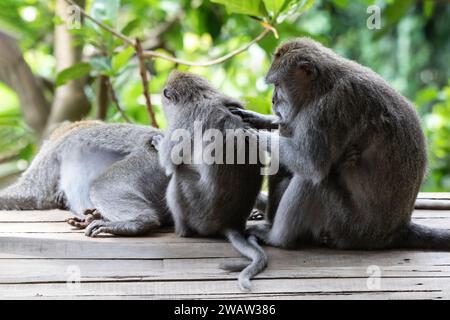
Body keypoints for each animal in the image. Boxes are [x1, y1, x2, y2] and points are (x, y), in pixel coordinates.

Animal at [153, 71, 268, 292]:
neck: (200, 95)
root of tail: (232, 223)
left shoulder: (183, 119)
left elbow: (168, 161)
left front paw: (158, 142)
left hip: (200, 214)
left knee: (178, 177)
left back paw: (183, 231)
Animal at [230, 37, 450, 251]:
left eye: (277, 85)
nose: (273, 101)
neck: (323, 86)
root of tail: (396, 230)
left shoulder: (327, 111)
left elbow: (310, 163)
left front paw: (252, 134)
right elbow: (289, 128)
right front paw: (260, 120)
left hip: (348, 226)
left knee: (311, 180)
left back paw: (276, 238)